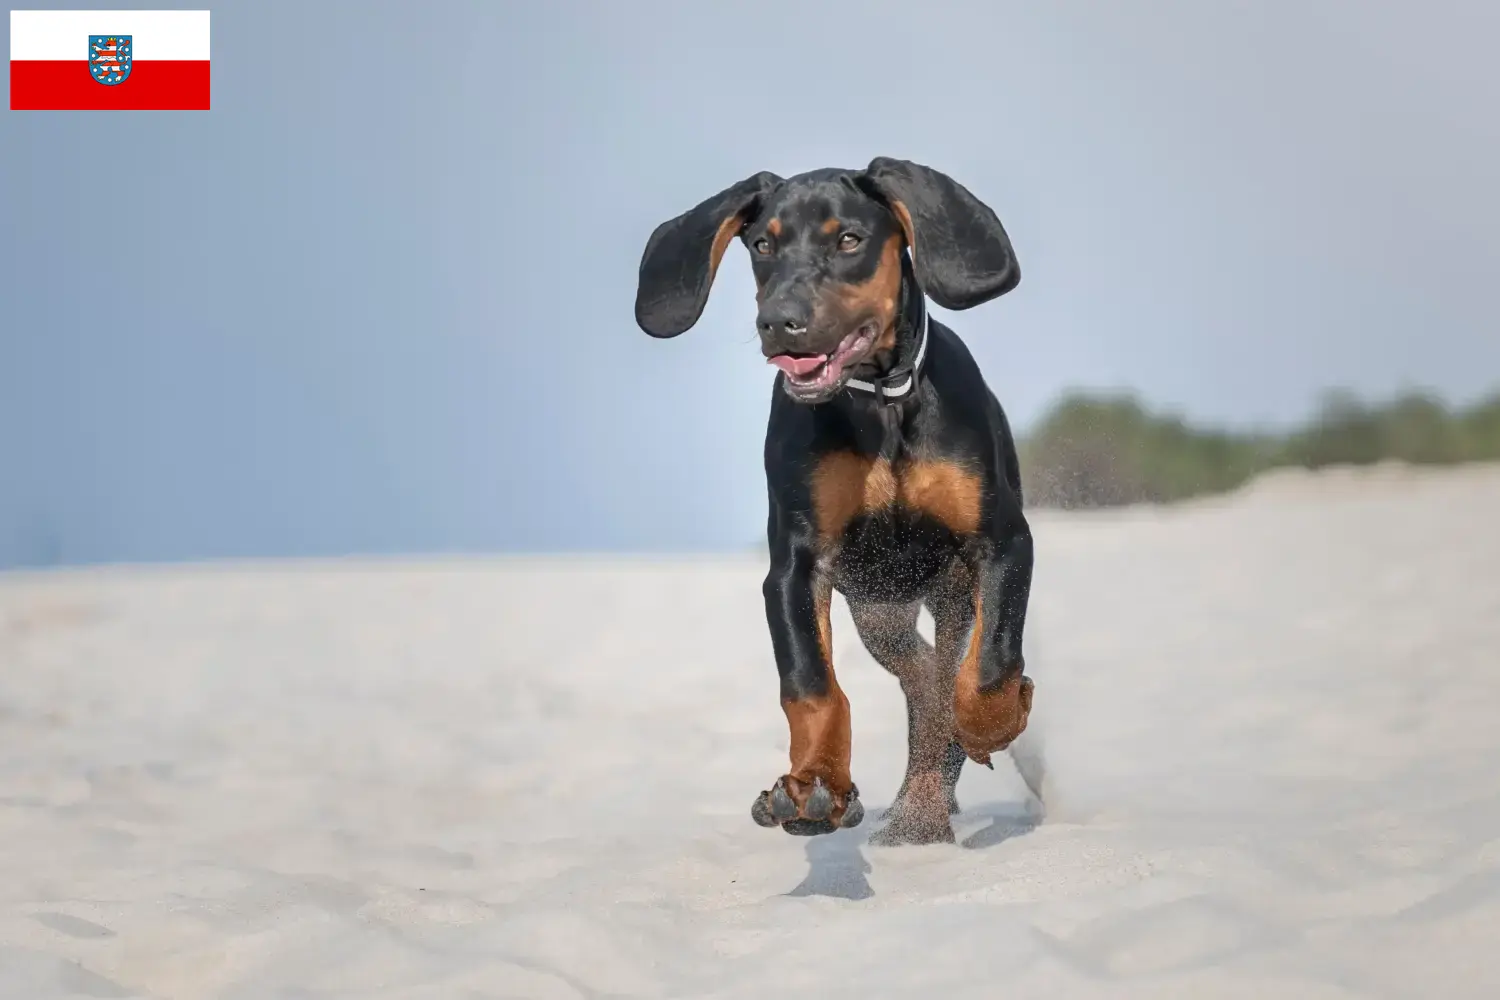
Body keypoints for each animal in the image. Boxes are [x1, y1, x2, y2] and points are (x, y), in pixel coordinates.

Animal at [630, 156, 1032, 845]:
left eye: (849, 239)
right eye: (762, 246)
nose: (777, 321)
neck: (879, 400)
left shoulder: (1003, 542)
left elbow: (989, 666)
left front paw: (993, 725)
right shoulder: (798, 565)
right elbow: (812, 684)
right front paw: (815, 783)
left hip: (948, 591)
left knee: (946, 672)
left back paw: (926, 806)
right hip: (879, 606)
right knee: (922, 678)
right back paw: (915, 809)